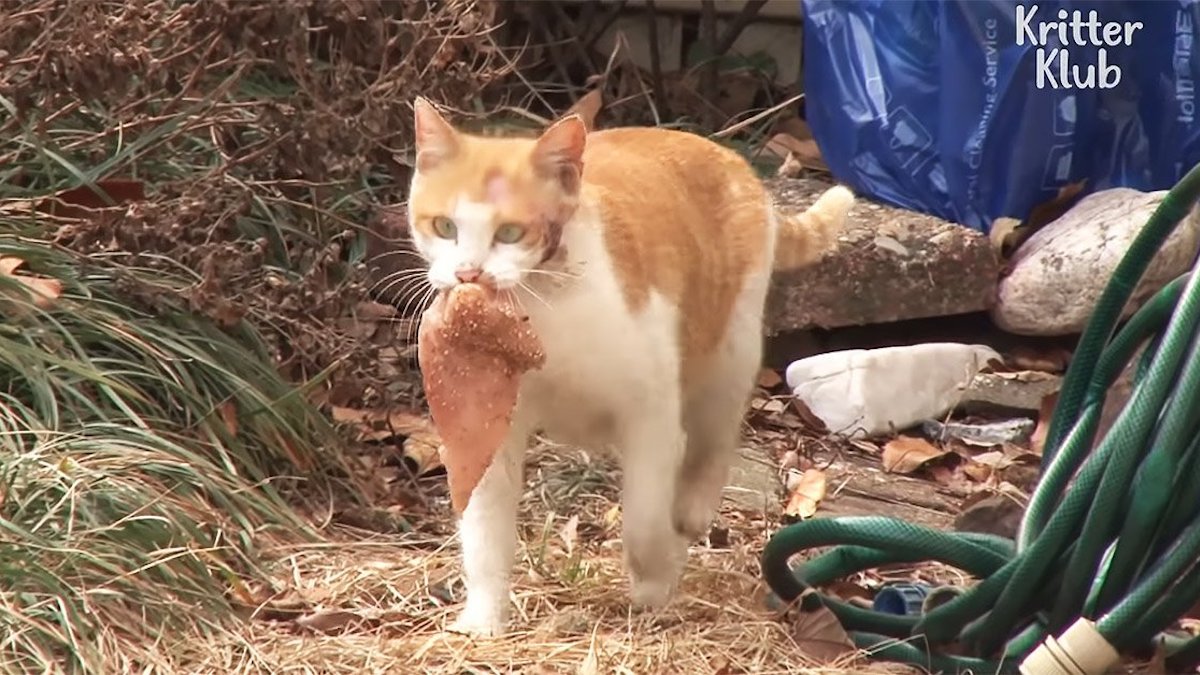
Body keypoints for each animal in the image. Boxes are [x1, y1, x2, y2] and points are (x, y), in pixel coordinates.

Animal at [408, 97, 859, 634]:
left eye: (511, 233)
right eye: (444, 227)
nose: (468, 273)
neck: (544, 307)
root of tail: (725, 154)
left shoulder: (652, 417)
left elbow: (644, 522)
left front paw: (653, 585)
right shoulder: (488, 427)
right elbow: (485, 532)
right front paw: (482, 619)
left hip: (731, 348)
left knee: (716, 437)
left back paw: (691, 510)